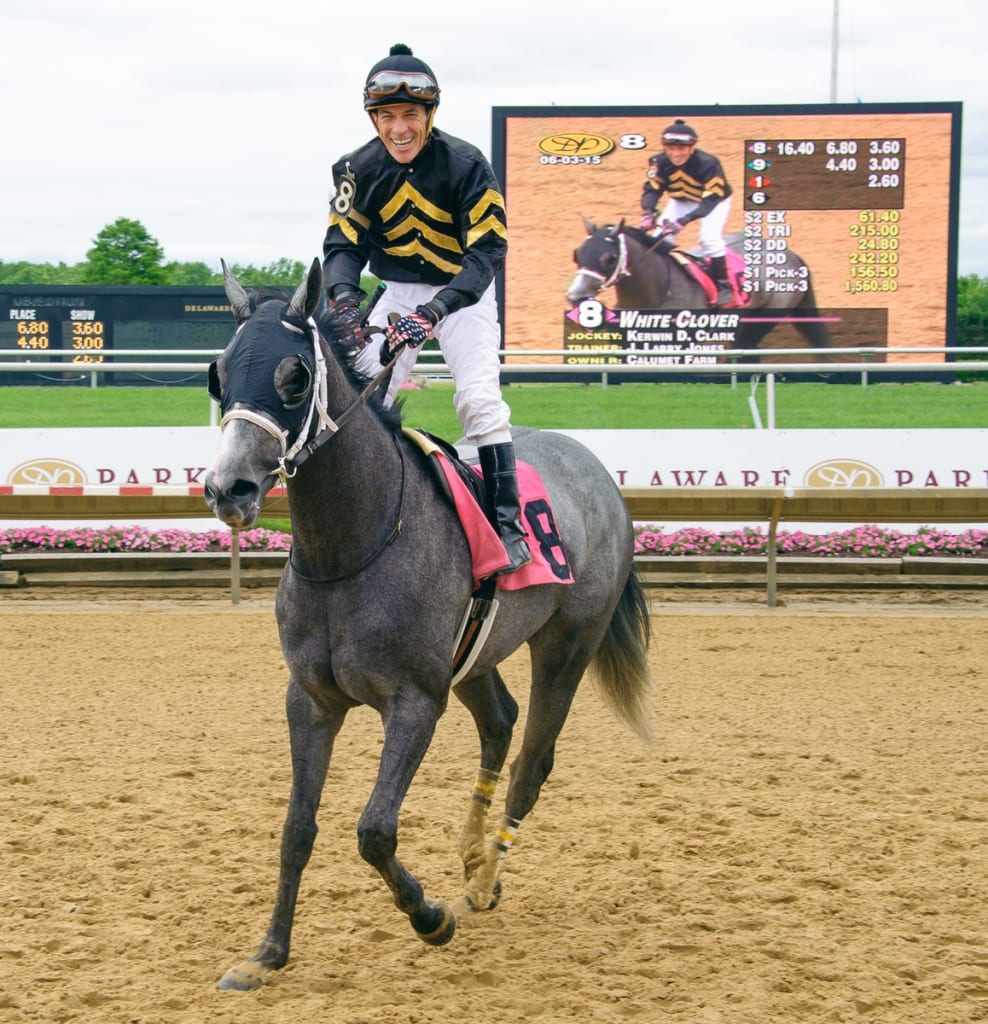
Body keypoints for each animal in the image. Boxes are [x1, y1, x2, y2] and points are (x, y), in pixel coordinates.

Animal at [203, 258, 651, 991]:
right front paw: (267, 952)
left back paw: (483, 881)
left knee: (531, 762)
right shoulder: (311, 699)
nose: (229, 488)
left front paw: (429, 917)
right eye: (217, 374)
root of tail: (595, 469)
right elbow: (297, 827)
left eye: (294, 376)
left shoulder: (414, 701)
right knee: (499, 721)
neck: (354, 545)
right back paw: (472, 857)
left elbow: (374, 830)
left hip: (568, 643)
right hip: (476, 653)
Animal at [565, 221, 835, 352]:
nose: (576, 296)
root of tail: (793, 256)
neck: (656, 292)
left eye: (609, 258)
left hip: (767, 315)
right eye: (578, 254)